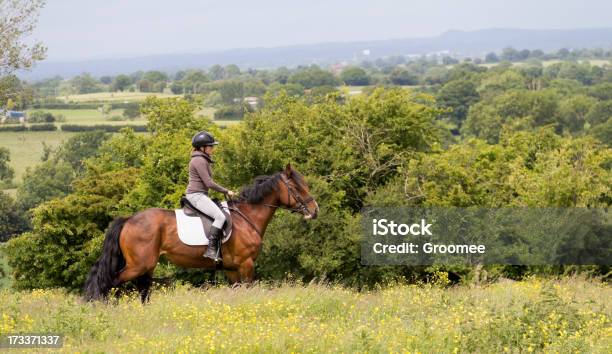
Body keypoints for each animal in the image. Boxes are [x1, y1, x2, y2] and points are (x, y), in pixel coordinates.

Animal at [83, 163, 318, 302]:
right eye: (297, 188)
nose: (315, 211)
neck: (246, 217)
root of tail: (129, 220)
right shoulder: (246, 264)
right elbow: (248, 290)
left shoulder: (232, 268)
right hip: (138, 265)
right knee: (110, 283)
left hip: (147, 266)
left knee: (143, 290)